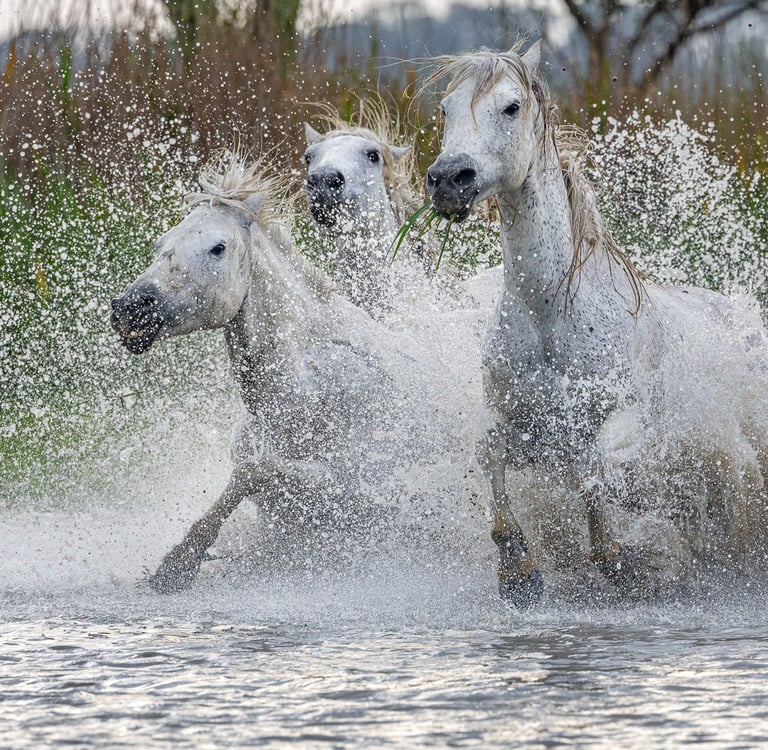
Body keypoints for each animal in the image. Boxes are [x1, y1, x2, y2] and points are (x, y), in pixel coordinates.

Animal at [110, 150, 482, 593]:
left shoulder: (363, 490)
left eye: (218, 247)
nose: (130, 307)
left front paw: (180, 562)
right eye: (160, 244)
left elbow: (257, 469)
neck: (307, 391)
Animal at [424, 41, 768, 605]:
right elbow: (491, 455)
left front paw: (628, 561)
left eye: (511, 107)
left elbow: (594, 471)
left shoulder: (624, 425)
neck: (550, 316)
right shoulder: (516, 421)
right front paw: (519, 573)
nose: (449, 179)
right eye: (445, 109)